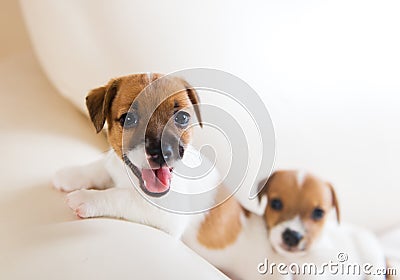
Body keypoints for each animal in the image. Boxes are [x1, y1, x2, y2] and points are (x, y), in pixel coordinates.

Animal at [53, 73, 212, 237]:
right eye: (128, 119)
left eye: (182, 117)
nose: (162, 153)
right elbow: (102, 166)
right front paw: (72, 174)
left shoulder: (167, 214)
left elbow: (122, 196)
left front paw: (88, 197)